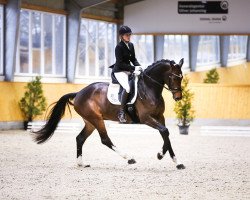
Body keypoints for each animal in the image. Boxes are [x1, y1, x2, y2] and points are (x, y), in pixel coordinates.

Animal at [33, 58, 186, 170]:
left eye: (182, 77)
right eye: (173, 77)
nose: (178, 97)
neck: (149, 89)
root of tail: (79, 93)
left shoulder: (160, 117)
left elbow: (165, 134)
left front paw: (173, 160)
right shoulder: (146, 118)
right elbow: (164, 131)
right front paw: (163, 156)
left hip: (90, 122)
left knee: (80, 138)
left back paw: (81, 163)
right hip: (96, 119)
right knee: (105, 139)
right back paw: (129, 158)